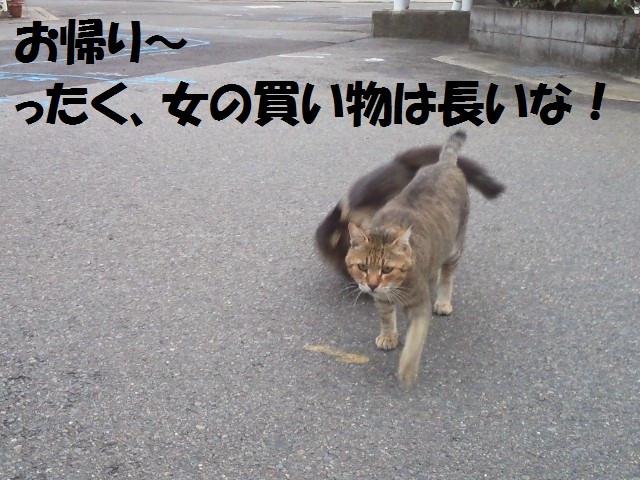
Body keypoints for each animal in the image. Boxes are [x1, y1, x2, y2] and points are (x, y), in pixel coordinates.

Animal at [344, 130, 496, 387]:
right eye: (362, 267)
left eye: (387, 269)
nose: (372, 284)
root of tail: (444, 163)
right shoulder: (382, 300)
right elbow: (386, 317)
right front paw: (388, 336)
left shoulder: (419, 306)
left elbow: (415, 340)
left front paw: (406, 369)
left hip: (454, 247)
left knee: (447, 277)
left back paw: (443, 300)